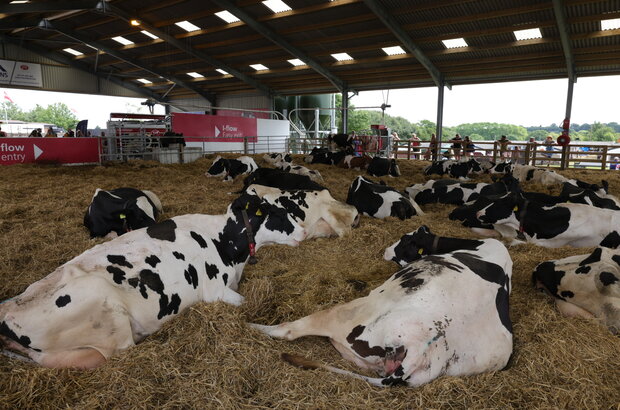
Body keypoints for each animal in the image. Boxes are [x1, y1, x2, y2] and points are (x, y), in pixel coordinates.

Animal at [0, 192, 306, 368]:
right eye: (277, 213)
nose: (304, 231)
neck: (225, 243)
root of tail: (8, 311)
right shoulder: (216, 291)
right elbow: (244, 304)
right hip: (112, 327)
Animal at [249, 232, 512, 386]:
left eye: (405, 240)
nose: (386, 249)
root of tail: (422, 351)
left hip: (350, 313)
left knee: (290, 330)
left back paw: (253, 325)